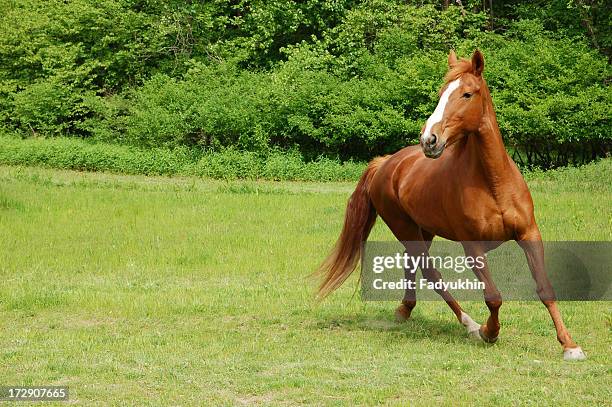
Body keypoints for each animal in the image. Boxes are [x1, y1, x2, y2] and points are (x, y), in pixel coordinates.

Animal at [318, 50, 584, 360]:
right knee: (431, 273)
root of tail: (386, 163)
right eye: (440, 93)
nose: (429, 140)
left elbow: (545, 288)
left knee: (412, 264)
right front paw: (489, 332)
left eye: (467, 94)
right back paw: (468, 323)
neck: (493, 183)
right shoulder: (472, 247)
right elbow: (493, 296)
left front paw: (570, 345)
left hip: (424, 230)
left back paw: (405, 310)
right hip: (404, 228)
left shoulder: (529, 235)